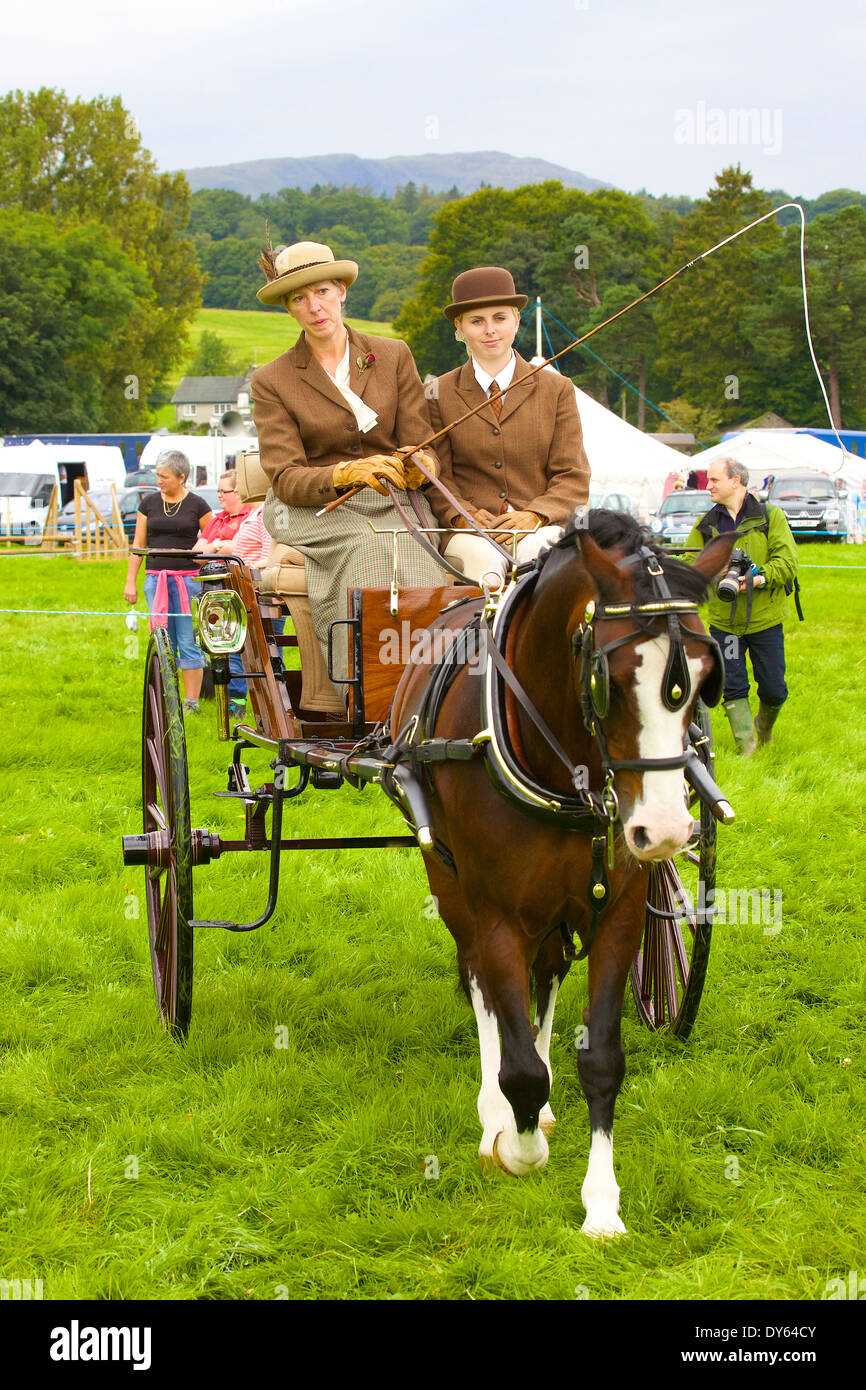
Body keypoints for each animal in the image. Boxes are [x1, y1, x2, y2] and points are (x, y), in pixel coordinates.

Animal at [387, 509, 736, 1237]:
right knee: (482, 984)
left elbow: (601, 1058)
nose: (666, 832)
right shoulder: (495, 912)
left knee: (543, 975)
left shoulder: (621, 911)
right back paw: (498, 1112)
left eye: (704, 675)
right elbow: (516, 1058)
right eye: (611, 678)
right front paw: (514, 1143)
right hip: (450, 881)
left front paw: (602, 1204)